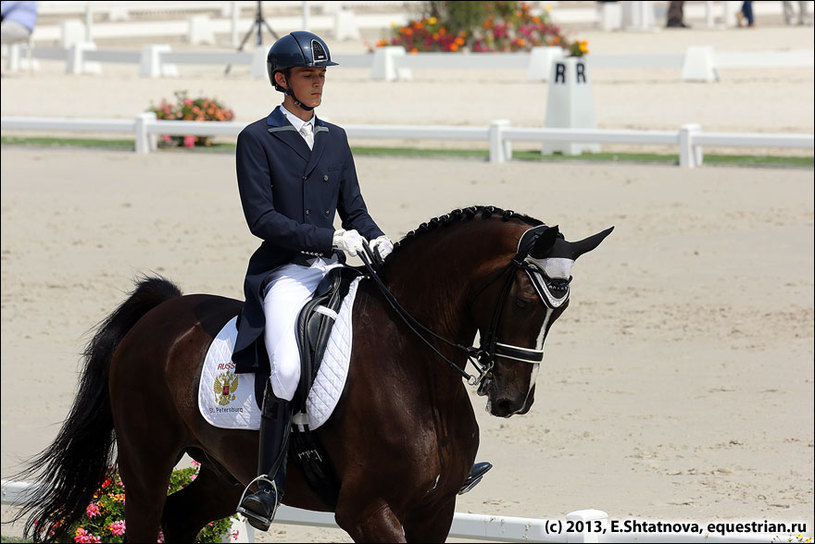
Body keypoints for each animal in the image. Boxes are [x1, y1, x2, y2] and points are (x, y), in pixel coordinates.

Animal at [11, 206, 612, 540]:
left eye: (560, 311)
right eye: (525, 301)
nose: (512, 399)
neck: (416, 369)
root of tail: (162, 312)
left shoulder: (436, 510)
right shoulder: (367, 511)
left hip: (223, 469)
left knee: (180, 518)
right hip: (147, 460)